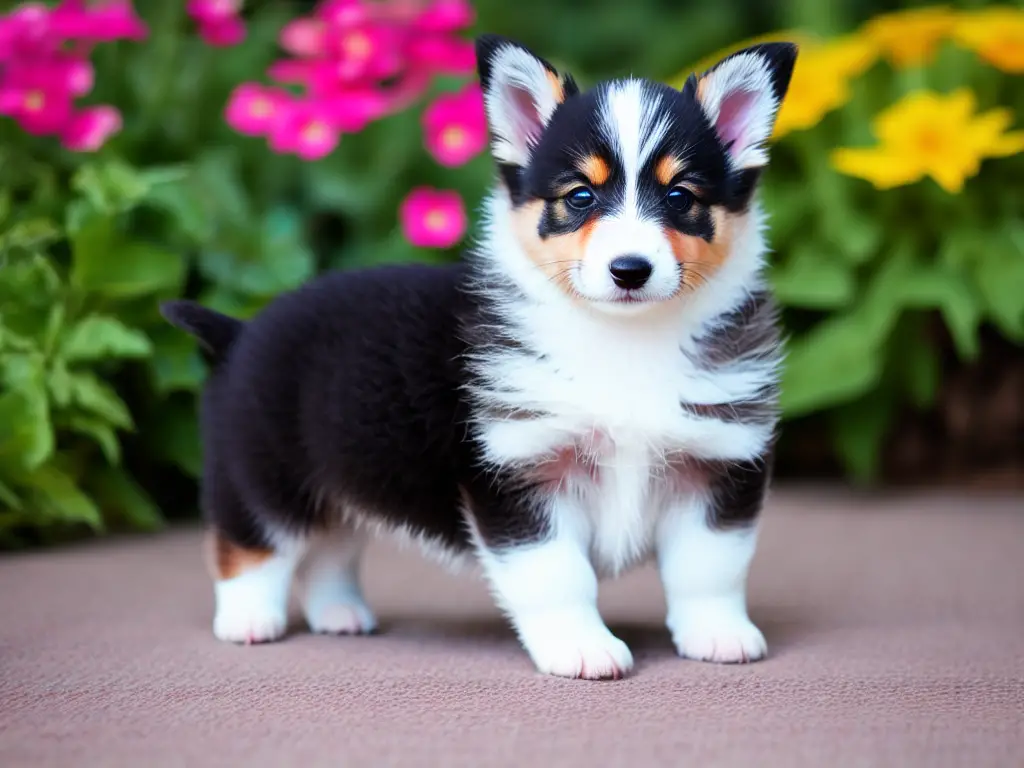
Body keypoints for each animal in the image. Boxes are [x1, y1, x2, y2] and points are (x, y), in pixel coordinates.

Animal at [163, 34, 794, 679]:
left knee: (330, 548)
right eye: (581, 196)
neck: (623, 338)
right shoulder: (519, 473)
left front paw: (719, 635)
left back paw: (339, 614)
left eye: (679, 196)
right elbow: (558, 576)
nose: (630, 269)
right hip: (262, 475)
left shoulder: (716, 466)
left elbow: (709, 570)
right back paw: (248, 620)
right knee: (251, 547)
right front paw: (582, 647)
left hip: (342, 480)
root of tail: (239, 331)